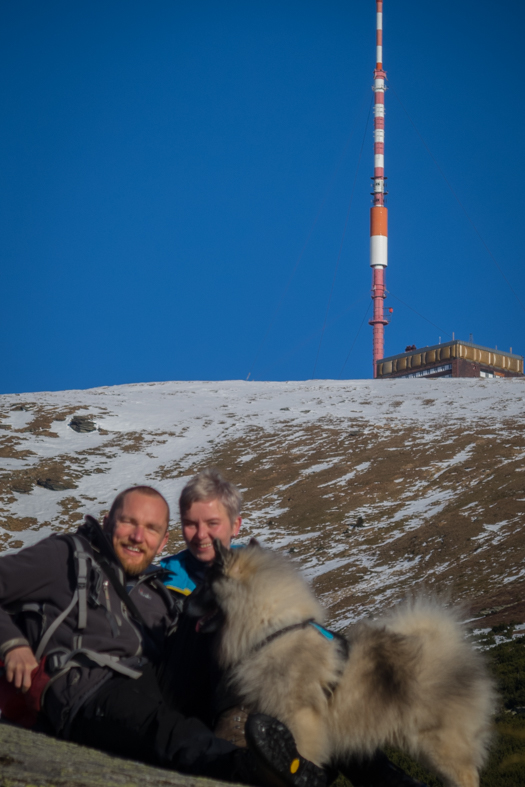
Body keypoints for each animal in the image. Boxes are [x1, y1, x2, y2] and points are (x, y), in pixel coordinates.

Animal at [187, 540, 496, 787]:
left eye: (203, 585)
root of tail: (449, 644)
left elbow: (304, 753)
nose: (182, 604)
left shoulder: (300, 718)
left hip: (439, 746)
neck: (274, 629)